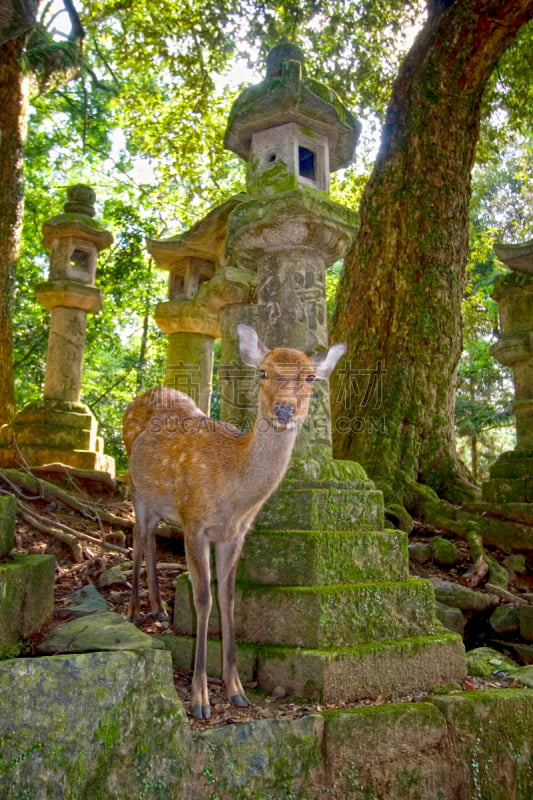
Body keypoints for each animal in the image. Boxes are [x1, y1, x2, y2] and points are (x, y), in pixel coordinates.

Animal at [124, 322, 348, 720]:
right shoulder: (195, 523)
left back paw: (160, 610)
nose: (285, 409)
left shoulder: (235, 534)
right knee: (136, 538)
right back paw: (135, 611)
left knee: (149, 537)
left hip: (160, 503)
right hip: (135, 487)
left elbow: (229, 599)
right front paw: (199, 699)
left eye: (309, 376)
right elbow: (203, 600)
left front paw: (237, 690)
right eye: (263, 372)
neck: (233, 493)